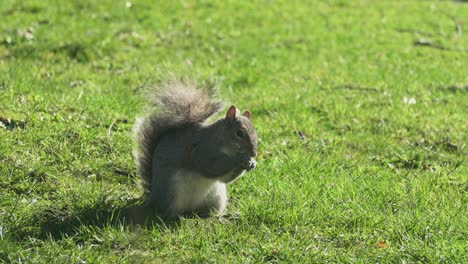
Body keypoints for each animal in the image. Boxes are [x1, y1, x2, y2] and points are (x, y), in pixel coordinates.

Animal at [133, 79, 260, 219]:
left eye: (255, 131)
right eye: (239, 133)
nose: (254, 152)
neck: (220, 138)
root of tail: (153, 199)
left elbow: (225, 178)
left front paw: (252, 163)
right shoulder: (201, 150)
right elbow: (211, 166)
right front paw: (240, 159)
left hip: (216, 197)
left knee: (208, 212)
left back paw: (222, 216)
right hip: (171, 191)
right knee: (167, 212)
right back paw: (177, 216)